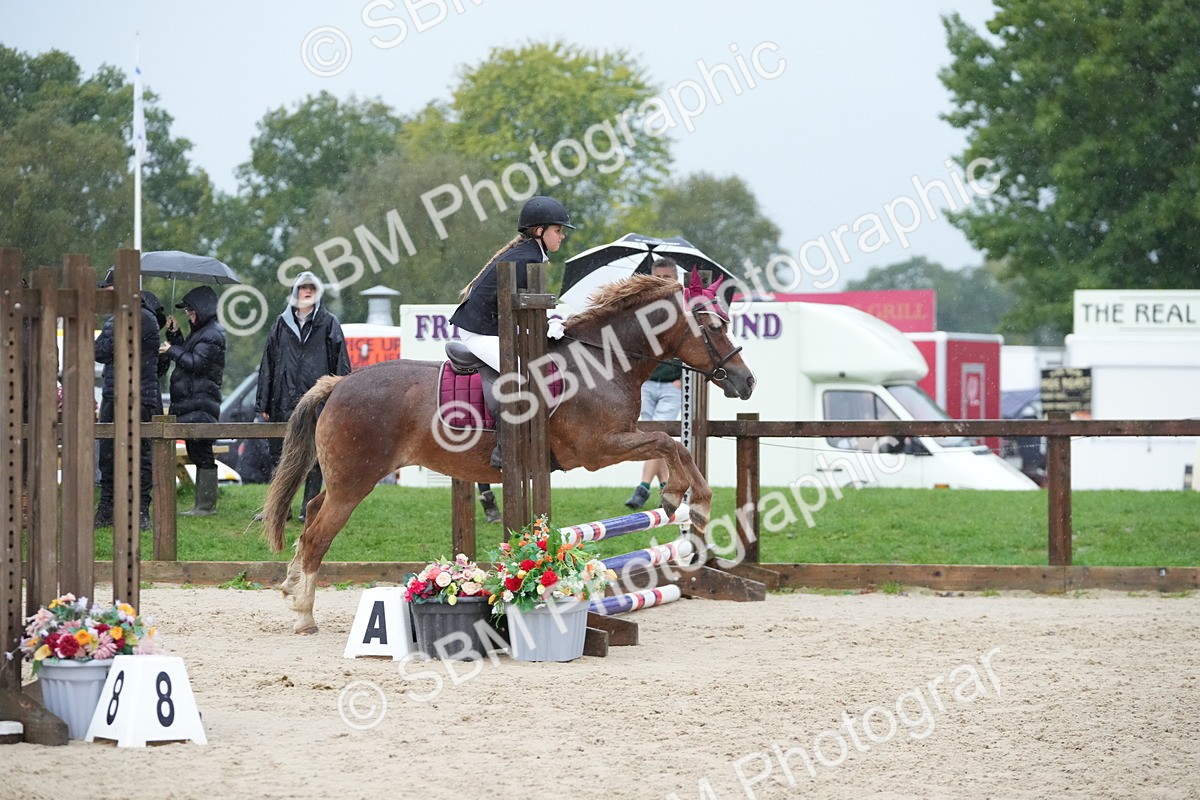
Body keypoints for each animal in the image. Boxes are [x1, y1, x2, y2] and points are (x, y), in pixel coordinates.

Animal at [263, 272, 756, 633]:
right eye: (715, 326)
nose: (746, 381)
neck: (604, 361)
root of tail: (338, 383)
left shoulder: (618, 437)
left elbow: (673, 445)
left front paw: (680, 499)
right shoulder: (597, 448)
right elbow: (668, 443)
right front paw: (691, 502)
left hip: (345, 478)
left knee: (311, 511)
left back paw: (290, 588)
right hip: (355, 481)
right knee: (317, 535)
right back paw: (304, 614)